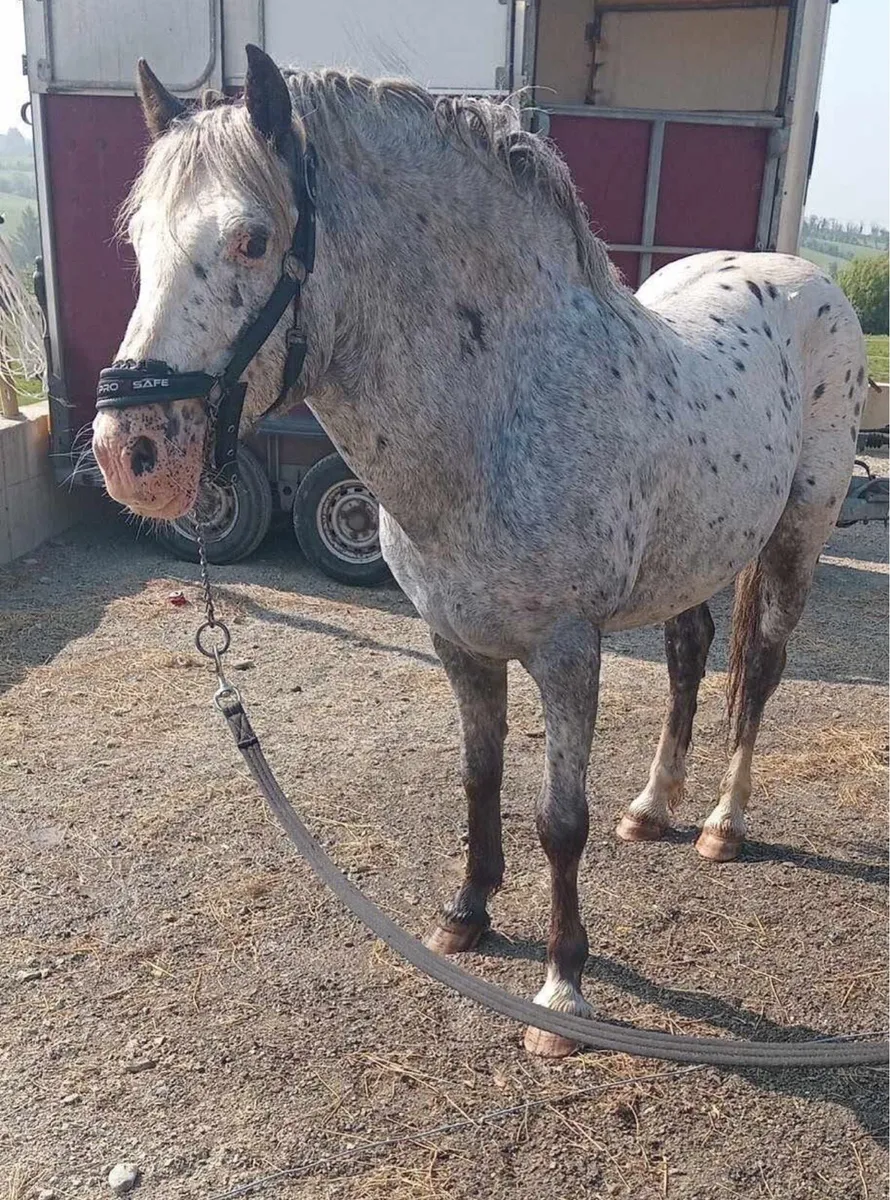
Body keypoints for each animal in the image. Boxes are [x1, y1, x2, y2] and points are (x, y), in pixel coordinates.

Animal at [91, 46, 867, 1058]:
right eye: (139, 242)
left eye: (253, 241)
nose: (131, 452)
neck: (499, 415)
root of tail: (807, 278)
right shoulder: (456, 642)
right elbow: (479, 776)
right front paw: (466, 915)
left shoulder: (566, 651)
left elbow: (559, 820)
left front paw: (563, 991)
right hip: (694, 553)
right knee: (690, 654)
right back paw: (653, 809)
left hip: (794, 538)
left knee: (761, 671)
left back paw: (722, 827)